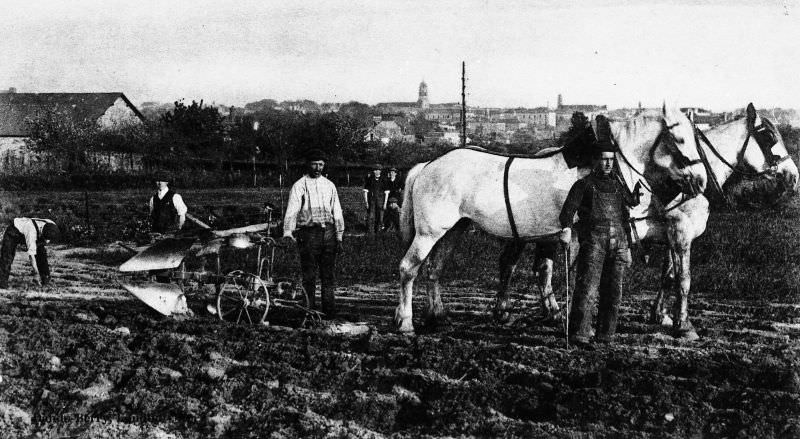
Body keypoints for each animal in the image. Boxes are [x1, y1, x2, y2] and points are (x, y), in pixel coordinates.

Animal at [396, 106, 708, 334]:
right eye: (680, 139)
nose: (700, 181)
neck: (606, 166)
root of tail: (427, 166)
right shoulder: (580, 236)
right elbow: (579, 276)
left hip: (454, 230)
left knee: (434, 269)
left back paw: (438, 316)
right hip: (428, 233)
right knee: (408, 268)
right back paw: (405, 322)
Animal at [644, 103, 800, 340]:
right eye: (769, 136)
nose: (794, 176)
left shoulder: (673, 233)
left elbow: (668, 275)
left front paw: (660, 315)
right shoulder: (681, 232)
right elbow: (684, 279)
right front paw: (684, 325)